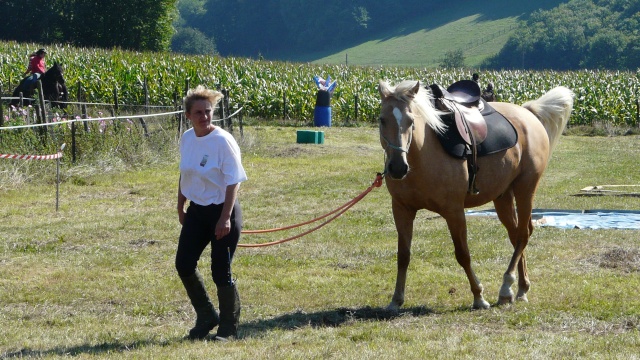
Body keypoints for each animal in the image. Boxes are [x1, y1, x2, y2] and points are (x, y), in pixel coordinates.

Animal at [378, 81, 572, 310]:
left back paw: (506, 287)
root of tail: (528, 113)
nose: (398, 167)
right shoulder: (402, 210)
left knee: (523, 234)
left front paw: (479, 296)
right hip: (503, 197)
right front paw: (396, 299)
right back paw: (521, 288)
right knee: (516, 235)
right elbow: (403, 255)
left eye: (410, 120)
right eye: (382, 119)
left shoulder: (454, 211)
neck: (423, 155)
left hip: (526, 188)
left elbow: (463, 254)